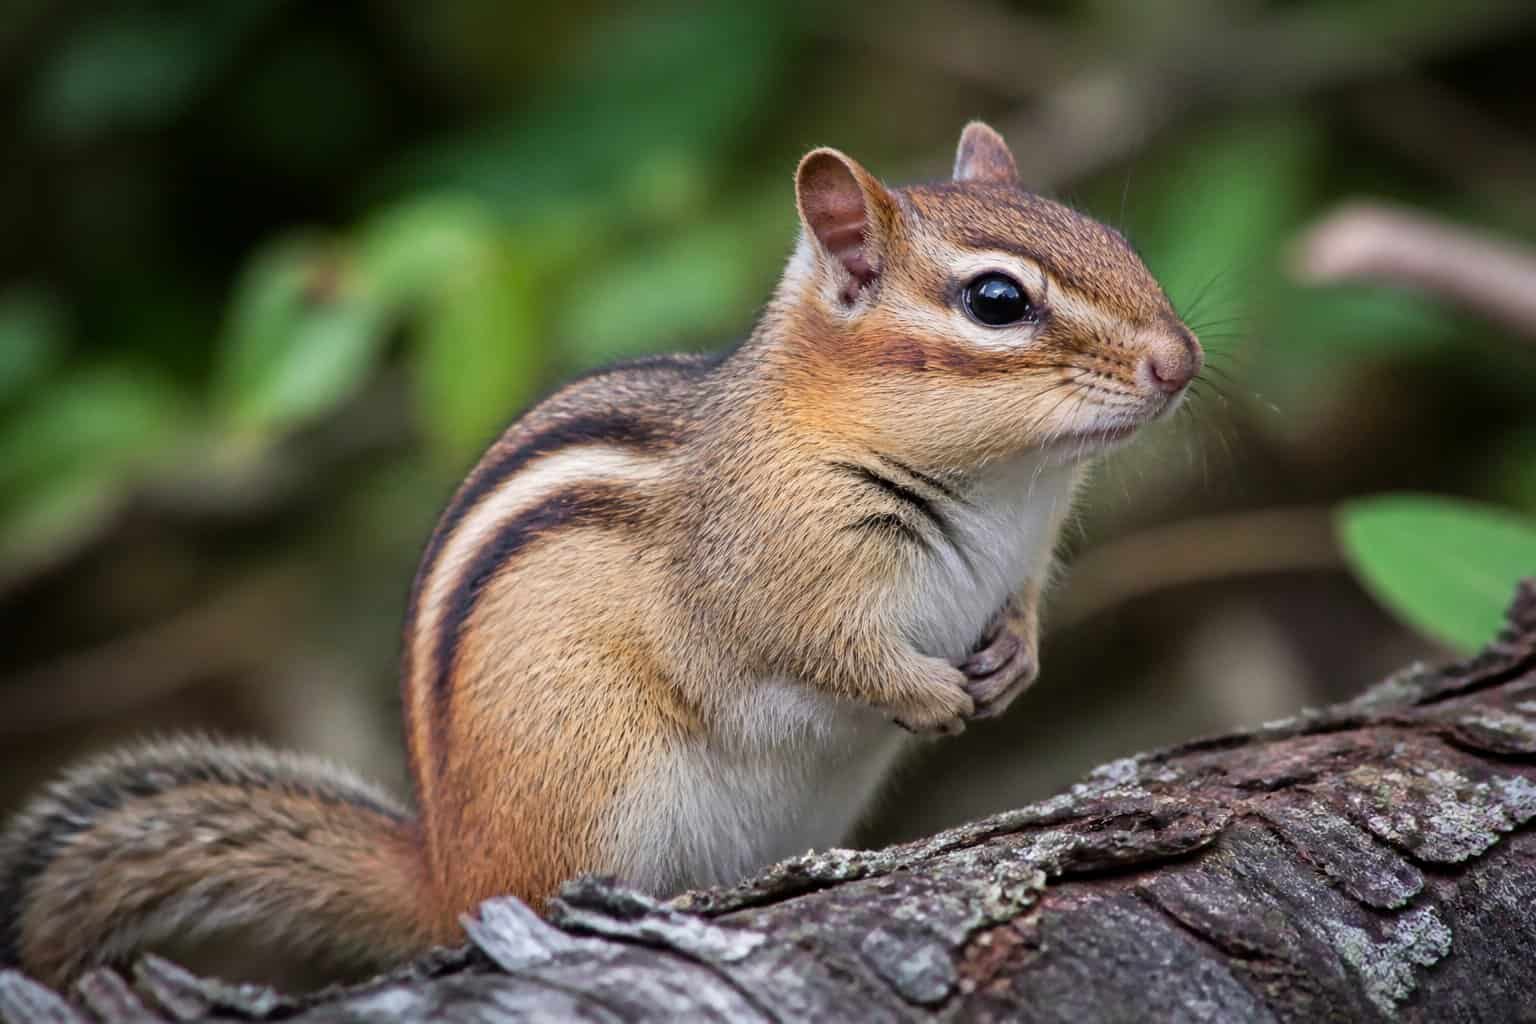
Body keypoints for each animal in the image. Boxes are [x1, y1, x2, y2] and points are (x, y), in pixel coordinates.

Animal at [0, 122, 1200, 989]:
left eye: (1113, 239)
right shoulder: (762, 573)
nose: (1180, 361)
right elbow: (823, 651)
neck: (1003, 489)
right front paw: (929, 693)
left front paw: (1013, 662)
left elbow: (1022, 607)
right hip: (596, 782)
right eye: (997, 300)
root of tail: (447, 873)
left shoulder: (1023, 555)